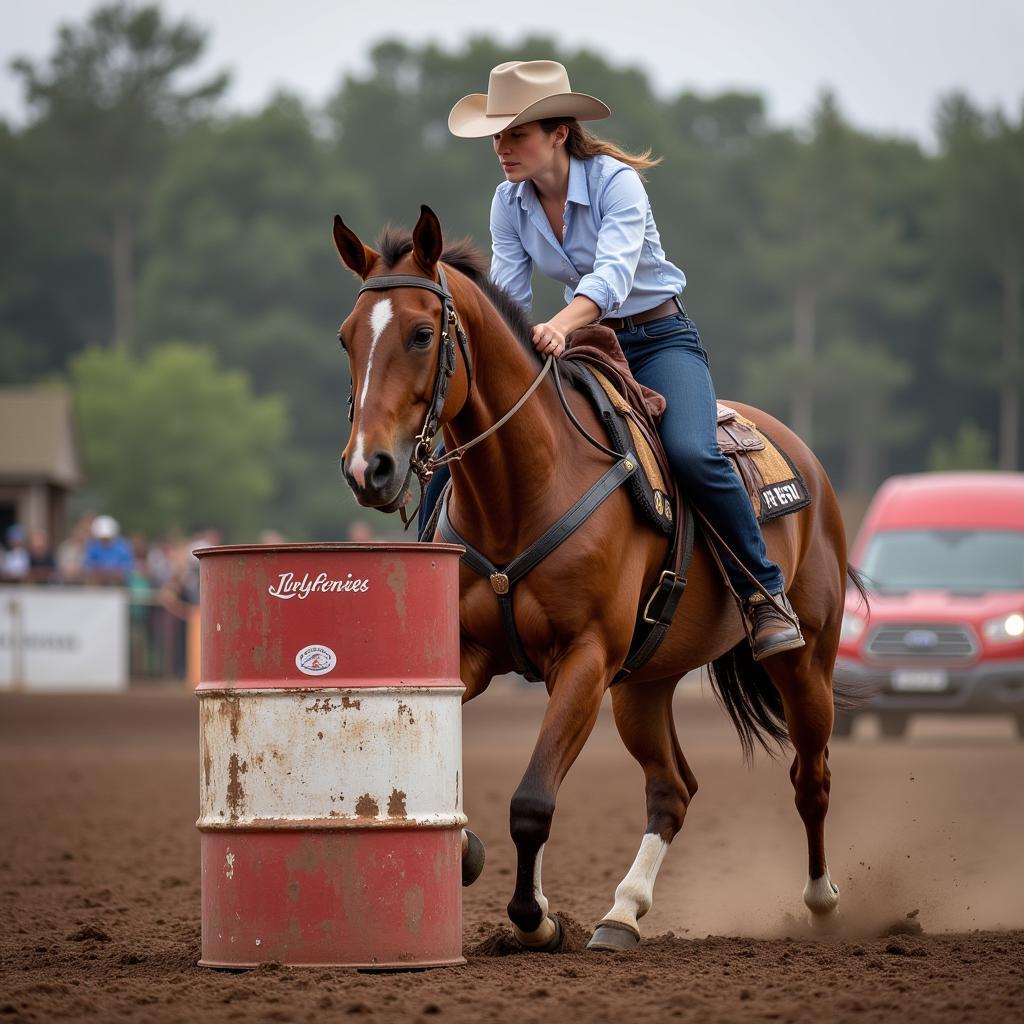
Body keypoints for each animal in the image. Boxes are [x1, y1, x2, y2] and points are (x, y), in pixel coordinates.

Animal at [331, 205, 851, 950]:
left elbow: (532, 800)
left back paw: (821, 903)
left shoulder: (584, 659)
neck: (524, 490)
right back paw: (621, 913)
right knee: (673, 790)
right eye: (347, 337)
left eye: (422, 333)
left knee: (811, 777)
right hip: (645, 684)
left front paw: (537, 921)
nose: (366, 468)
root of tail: (807, 463)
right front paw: (475, 860)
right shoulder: (470, 655)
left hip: (806, 663)